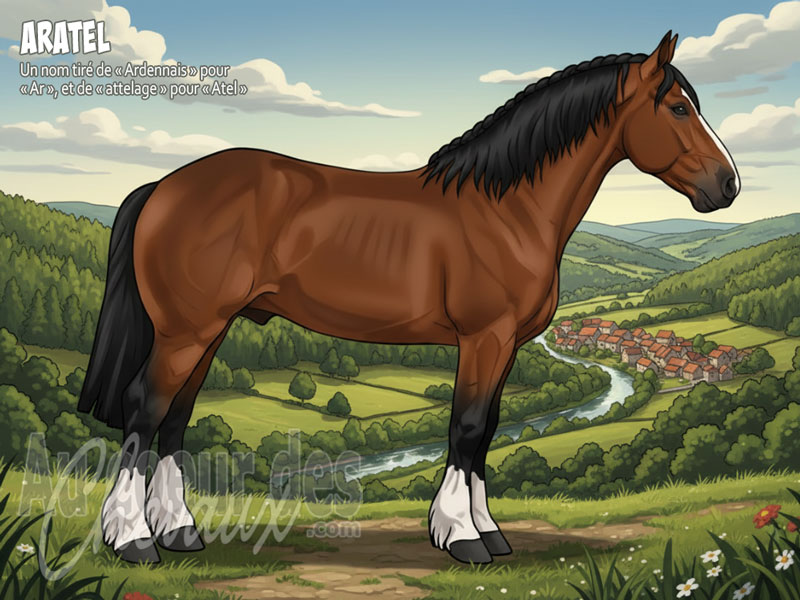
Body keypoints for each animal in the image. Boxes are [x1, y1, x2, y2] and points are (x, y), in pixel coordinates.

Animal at [78, 31, 739, 565]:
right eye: (678, 107)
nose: (727, 185)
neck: (506, 209)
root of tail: (165, 185)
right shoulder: (484, 338)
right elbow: (466, 428)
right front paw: (462, 538)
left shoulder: (506, 347)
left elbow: (487, 431)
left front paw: (488, 531)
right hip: (186, 331)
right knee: (145, 409)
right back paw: (134, 540)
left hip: (206, 330)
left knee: (176, 418)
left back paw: (180, 532)